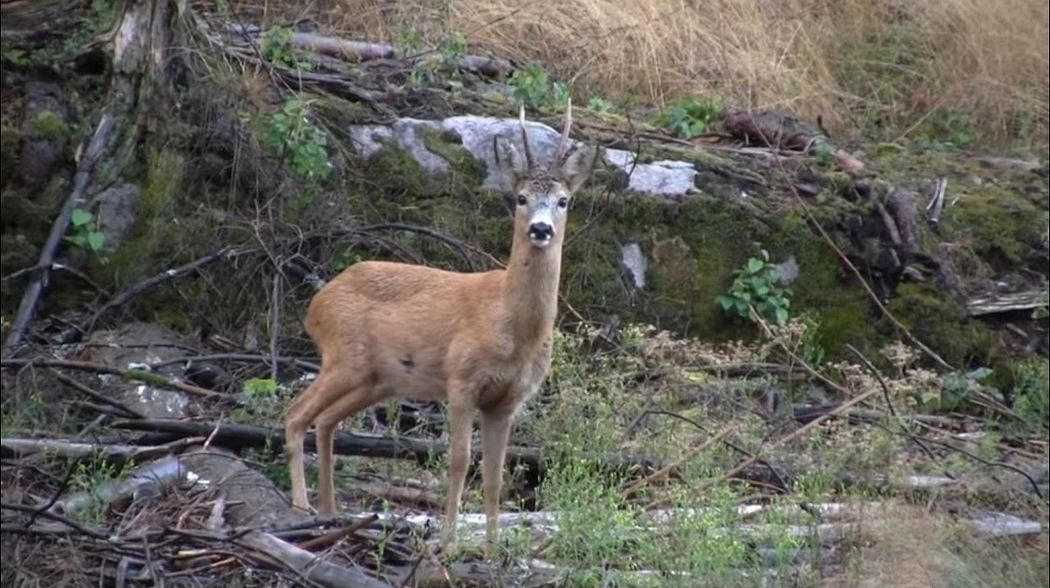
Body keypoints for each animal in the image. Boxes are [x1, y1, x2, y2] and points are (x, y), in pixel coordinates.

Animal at [283, 102, 600, 550]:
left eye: (563, 200)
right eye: (521, 198)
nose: (540, 229)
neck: (512, 327)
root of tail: (318, 302)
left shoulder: (508, 400)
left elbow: (494, 475)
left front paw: (491, 546)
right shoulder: (461, 380)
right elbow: (459, 461)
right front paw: (449, 541)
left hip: (376, 378)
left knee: (326, 421)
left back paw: (330, 510)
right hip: (343, 356)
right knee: (295, 415)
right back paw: (301, 507)